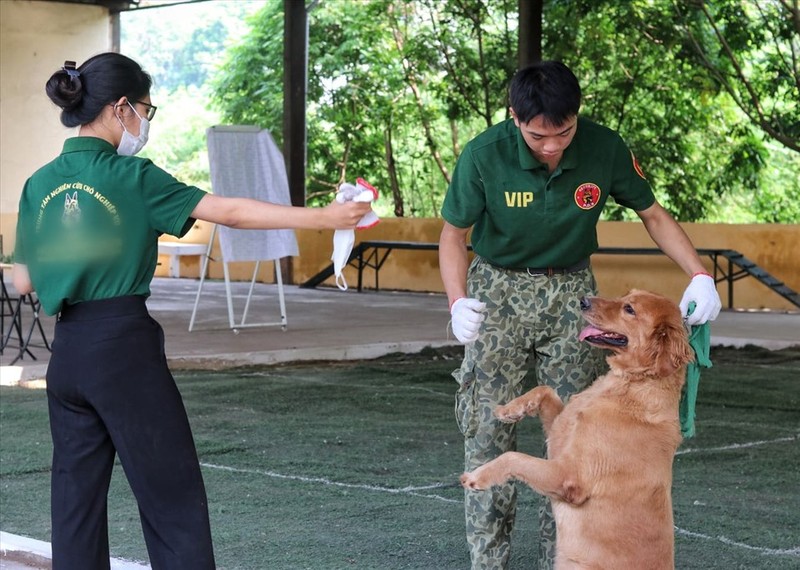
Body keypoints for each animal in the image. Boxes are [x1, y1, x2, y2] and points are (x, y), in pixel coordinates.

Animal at [460, 290, 696, 564]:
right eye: (626, 295)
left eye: (629, 309)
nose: (583, 300)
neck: (632, 384)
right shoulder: (559, 432)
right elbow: (544, 390)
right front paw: (509, 410)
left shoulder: (569, 476)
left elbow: (512, 456)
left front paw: (476, 476)